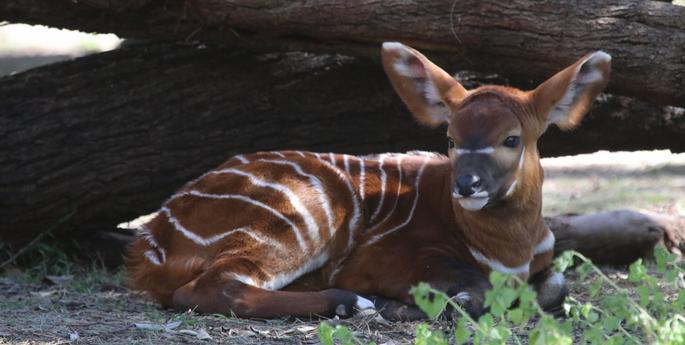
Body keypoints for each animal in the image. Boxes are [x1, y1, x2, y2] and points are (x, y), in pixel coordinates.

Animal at [127, 41, 608, 318]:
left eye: (511, 138)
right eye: (450, 139)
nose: (467, 185)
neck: (509, 248)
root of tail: (152, 241)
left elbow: (556, 286)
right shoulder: (386, 259)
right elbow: (474, 288)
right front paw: (413, 307)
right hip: (296, 223)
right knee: (212, 289)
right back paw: (350, 304)